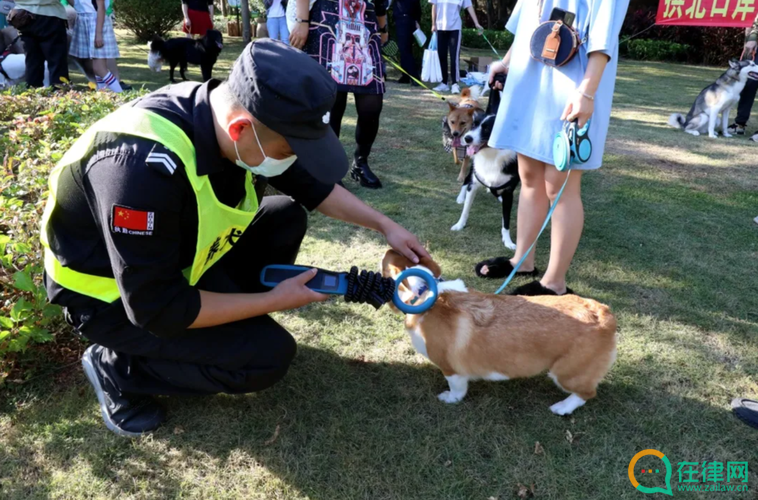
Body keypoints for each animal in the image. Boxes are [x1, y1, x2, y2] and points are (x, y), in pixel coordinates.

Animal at [382, 248, 620, 416]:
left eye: (383, 266)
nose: (388, 248)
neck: (426, 293)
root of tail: (604, 314)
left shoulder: (451, 369)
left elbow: (457, 388)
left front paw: (449, 398)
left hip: (566, 373)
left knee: (586, 393)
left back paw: (562, 407)